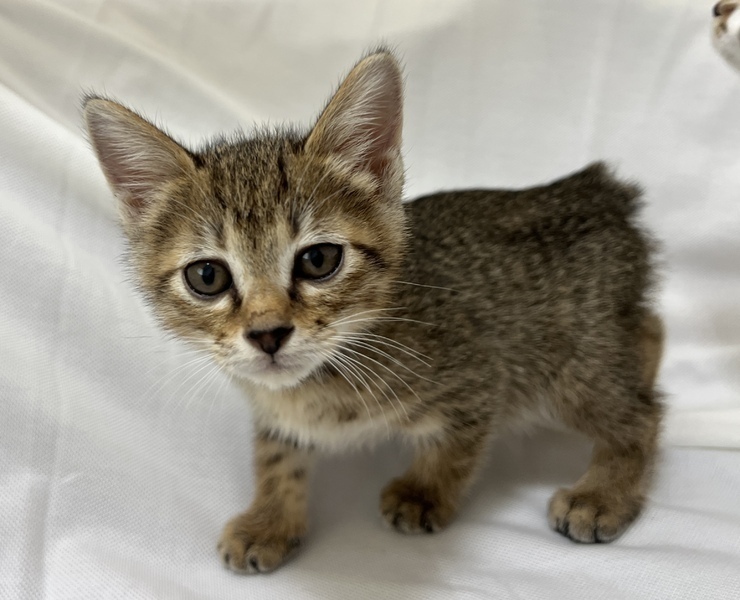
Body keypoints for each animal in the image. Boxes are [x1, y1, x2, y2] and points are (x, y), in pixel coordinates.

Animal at [84, 48, 664, 574]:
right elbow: (275, 457)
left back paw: (603, 494)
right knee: (651, 329)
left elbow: (456, 444)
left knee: (643, 412)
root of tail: (599, 190)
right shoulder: (276, 411)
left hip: (570, 369)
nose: (268, 334)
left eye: (318, 260)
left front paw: (424, 492)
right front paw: (270, 520)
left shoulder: (482, 374)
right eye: (207, 277)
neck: (324, 377)